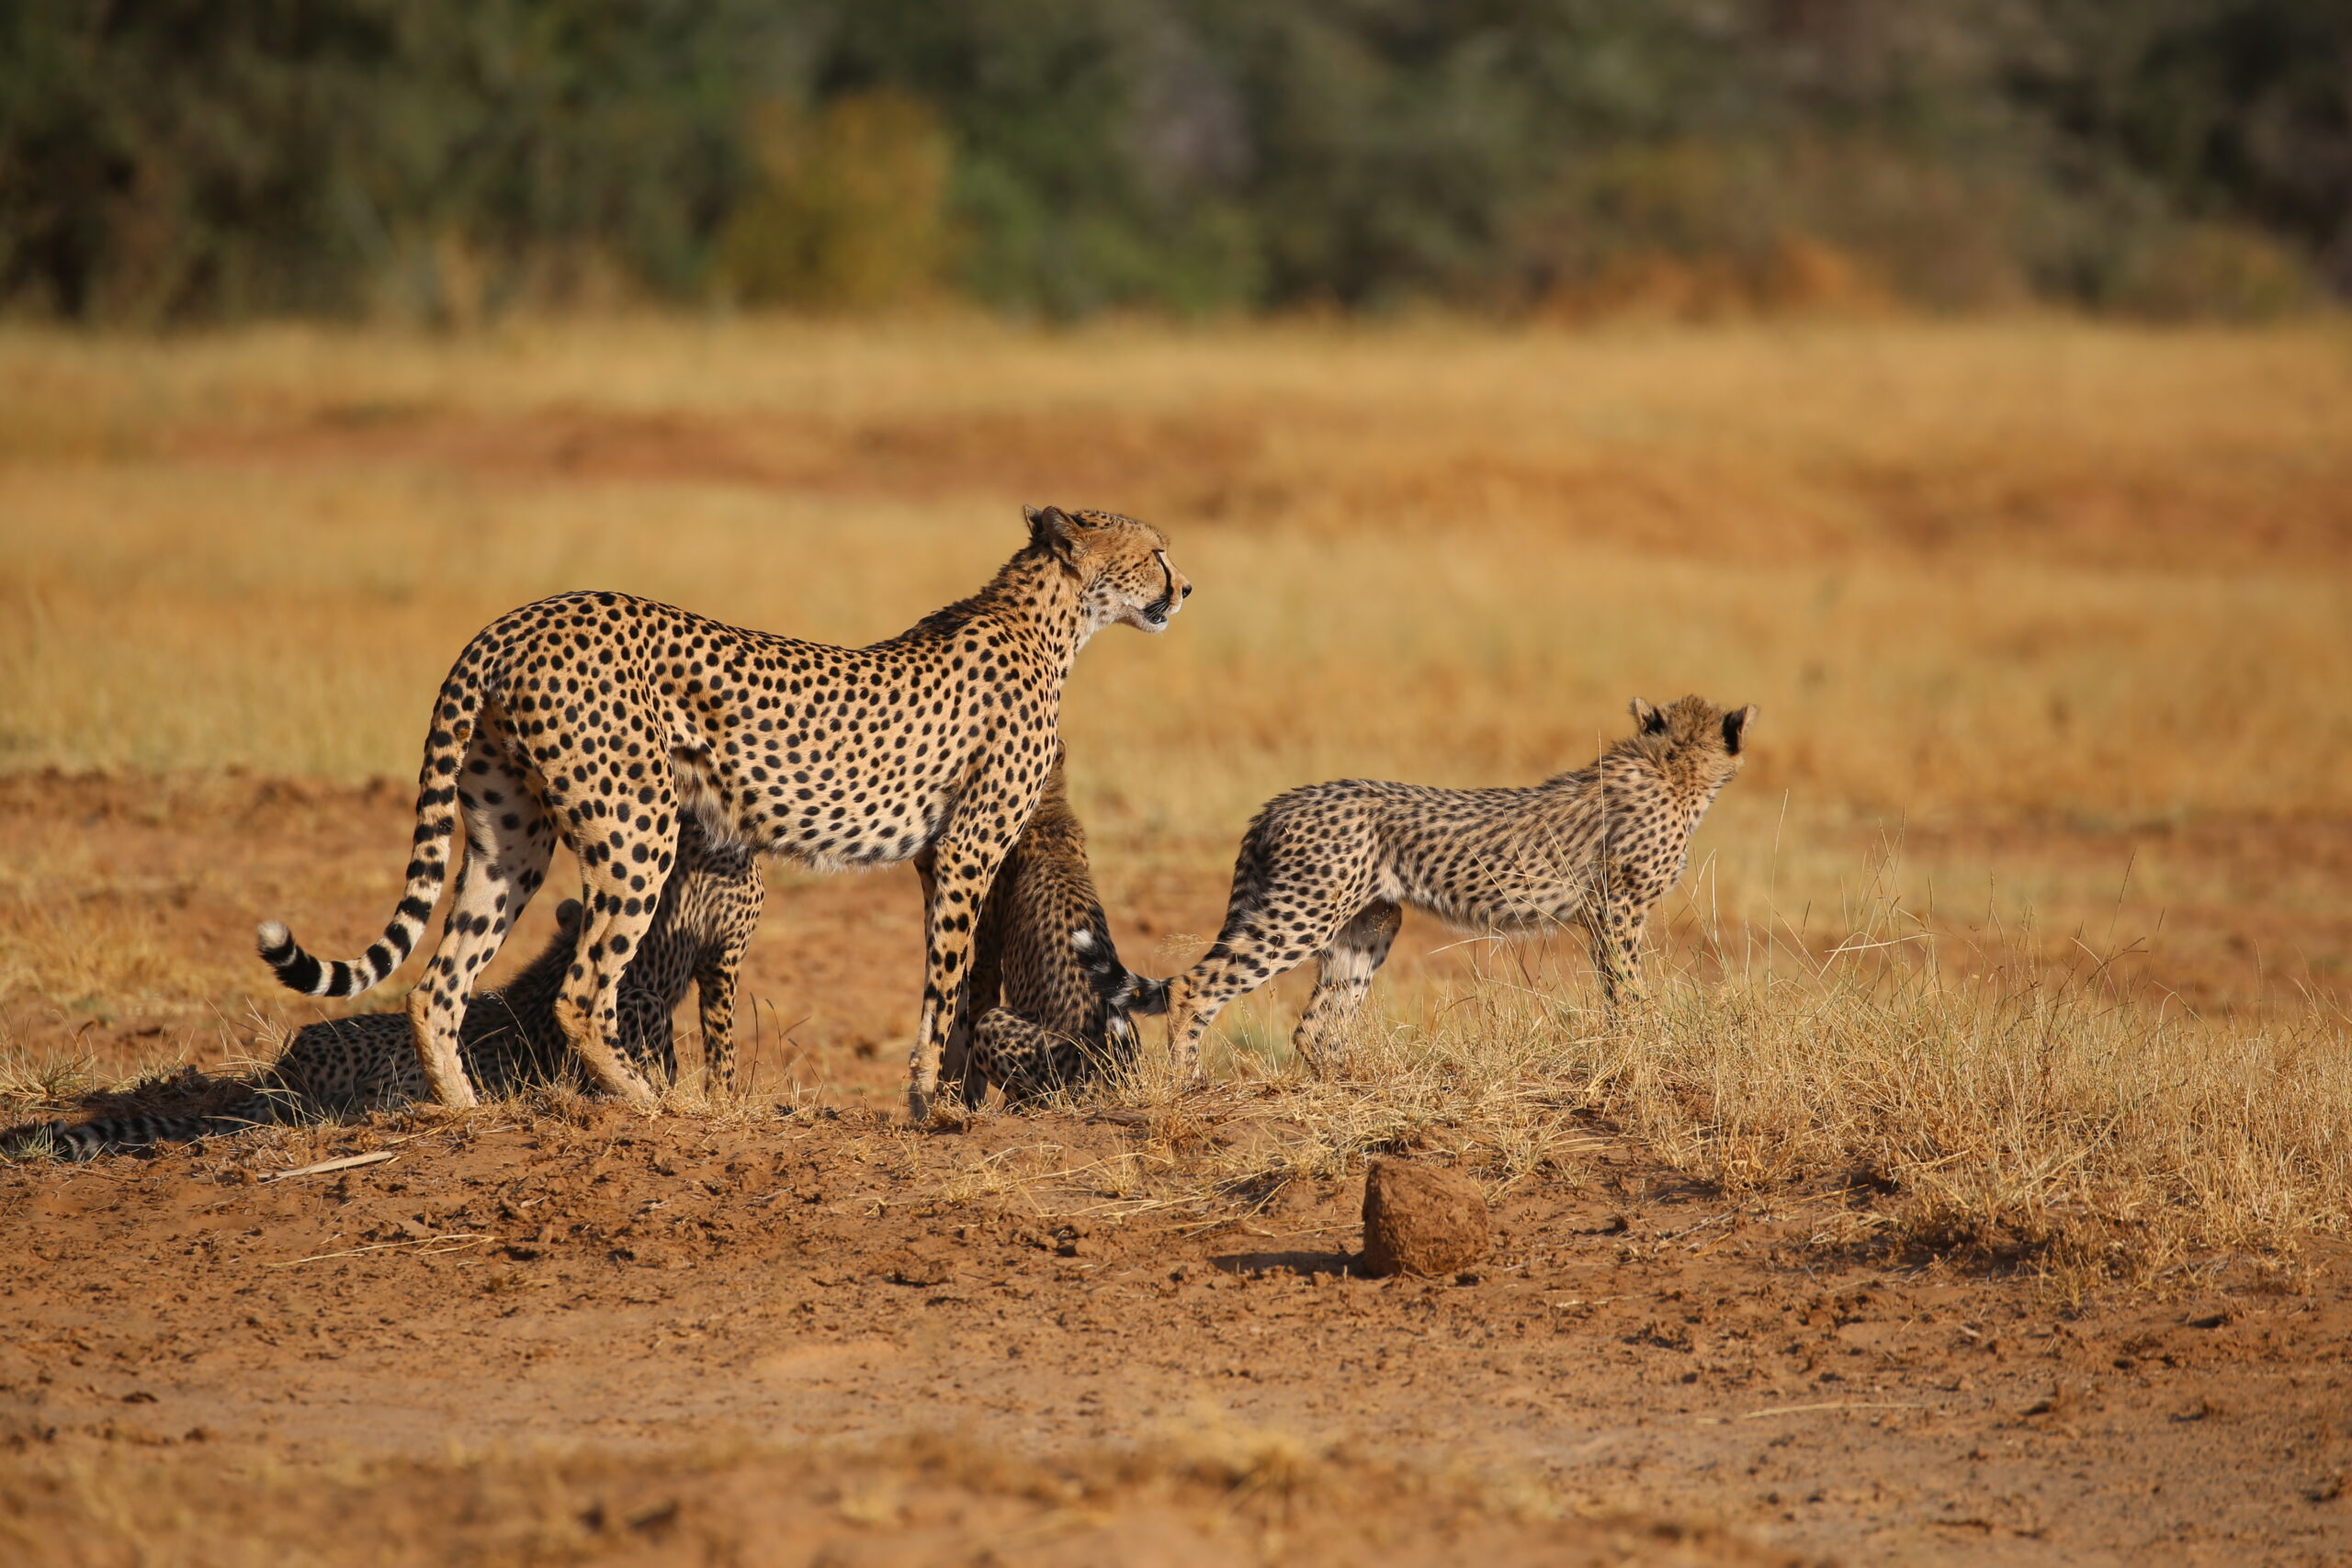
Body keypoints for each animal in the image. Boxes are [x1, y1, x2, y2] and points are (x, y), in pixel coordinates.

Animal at [1163, 696, 1757, 1079]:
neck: (1672, 767)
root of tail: (1283, 800)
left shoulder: (1607, 912)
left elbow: (1617, 987)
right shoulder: (1618, 908)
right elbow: (1628, 987)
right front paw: (1645, 1045)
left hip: (1371, 920)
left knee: (1318, 1024)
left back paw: (1363, 1079)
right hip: (1303, 914)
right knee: (1191, 985)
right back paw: (1186, 1082)